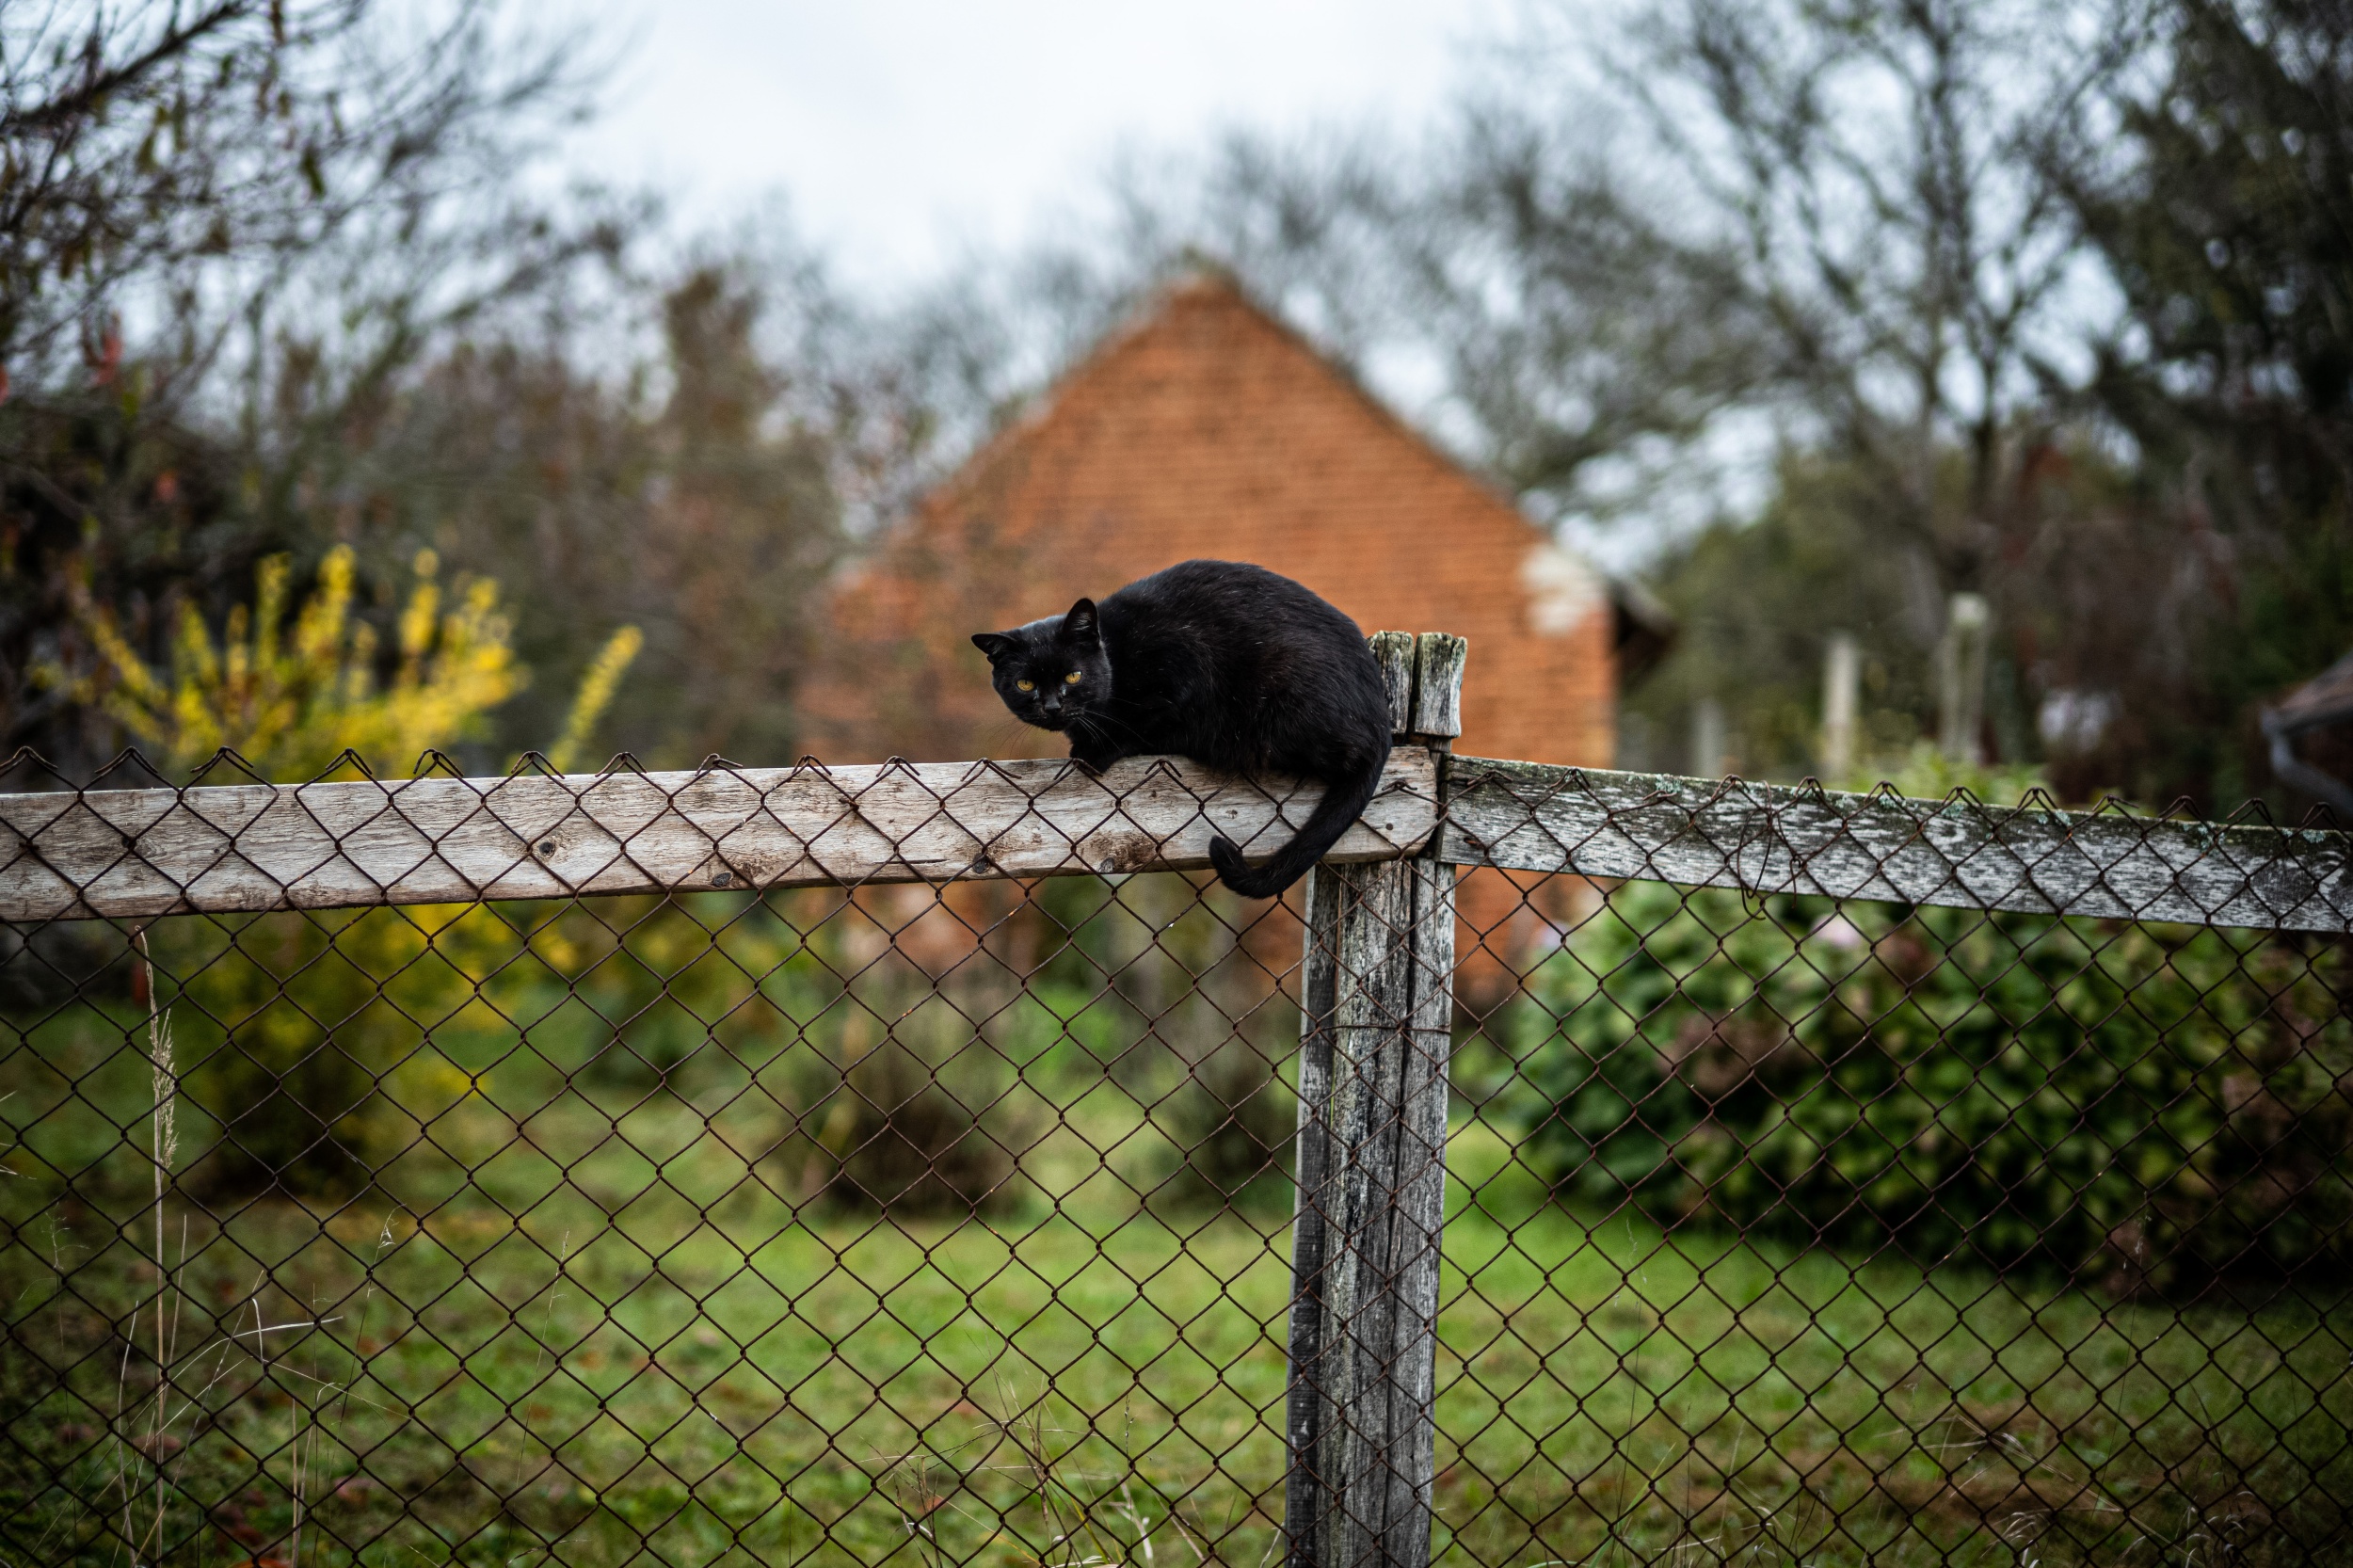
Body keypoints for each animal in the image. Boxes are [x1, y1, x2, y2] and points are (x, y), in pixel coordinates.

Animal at [965, 557, 1384, 899]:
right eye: (1025, 685)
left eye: (1073, 675)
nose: (1052, 706)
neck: (1117, 654)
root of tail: (1380, 722)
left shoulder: (1185, 671)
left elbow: (1145, 724)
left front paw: (1095, 750)